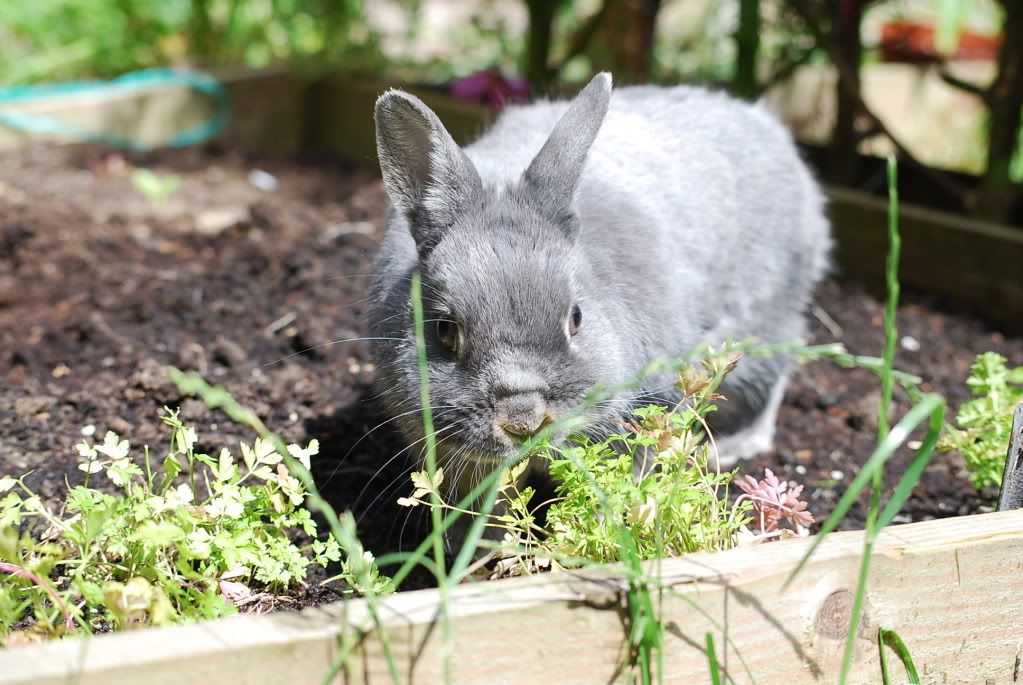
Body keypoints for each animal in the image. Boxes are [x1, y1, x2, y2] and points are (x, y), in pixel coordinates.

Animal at [368, 71, 830, 498]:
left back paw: (736, 446)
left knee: (783, 362)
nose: (523, 420)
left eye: (577, 317)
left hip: (758, 327)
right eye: (445, 329)